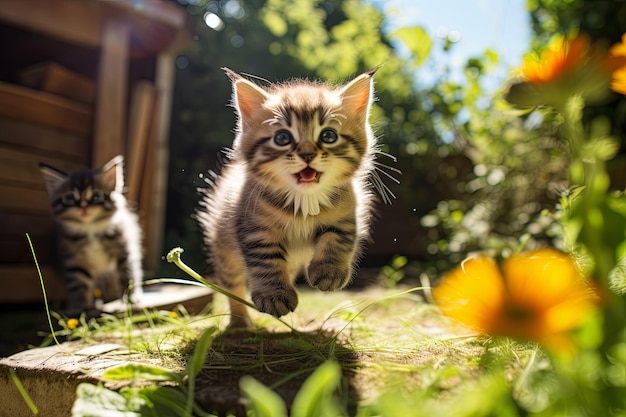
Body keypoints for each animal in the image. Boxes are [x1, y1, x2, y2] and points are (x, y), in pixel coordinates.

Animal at [40, 154, 144, 314]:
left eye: (95, 197)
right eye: (70, 198)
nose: (83, 207)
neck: (91, 230)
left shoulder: (124, 252)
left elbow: (128, 276)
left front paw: (131, 301)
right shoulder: (74, 261)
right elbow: (79, 285)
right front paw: (81, 309)